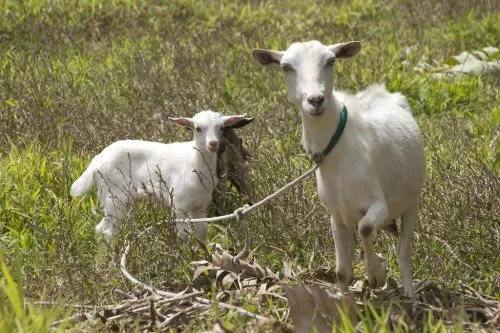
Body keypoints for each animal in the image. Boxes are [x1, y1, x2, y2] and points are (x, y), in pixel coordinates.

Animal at [69, 111, 249, 241]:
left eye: (221, 128)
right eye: (198, 128)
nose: (213, 144)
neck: (194, 161)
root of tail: (96, 161)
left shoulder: (199, 204)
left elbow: (202, 231)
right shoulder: (179, 203)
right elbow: (182, 234)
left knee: (104, 229)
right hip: (114, 195)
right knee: (106, 231)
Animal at [254, 39, 426, 296]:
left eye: (331, 61)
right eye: (286, 67)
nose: (315, 100)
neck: (338, 153)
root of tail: (383, 92)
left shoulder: (378, 204)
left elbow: (366, 228)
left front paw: (377, 272)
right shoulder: (336, 216)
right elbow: (341, 271)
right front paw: (345, 301)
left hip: (411, 202)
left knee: (403, 252)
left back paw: (410, 294)